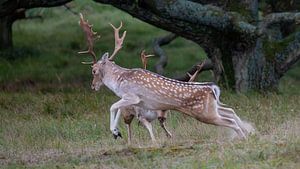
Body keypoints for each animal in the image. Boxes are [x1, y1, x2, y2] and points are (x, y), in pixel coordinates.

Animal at [78, 13, 251, 141]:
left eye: (93, 70)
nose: (93, 86)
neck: (119, 81)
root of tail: (212, 88)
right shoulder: (134, 102)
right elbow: (119, 108)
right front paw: (116, 132)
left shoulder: (132, 96)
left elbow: (113, 106)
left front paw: (115, 132)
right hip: (212, 107)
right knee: (230, 111)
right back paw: (249, 133)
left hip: (205, 113)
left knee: (230, 120)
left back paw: (243, 138)